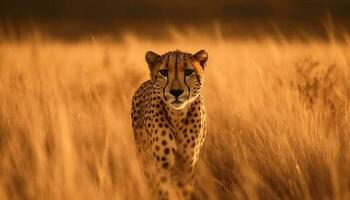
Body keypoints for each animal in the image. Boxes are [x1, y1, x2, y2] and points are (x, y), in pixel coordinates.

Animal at [131, 49, 208, 200]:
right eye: (164, 72)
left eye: (188, 71)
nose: (176, 92)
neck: (177, 115)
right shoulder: (163, 165)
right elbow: (164, 190)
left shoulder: (187, 165)